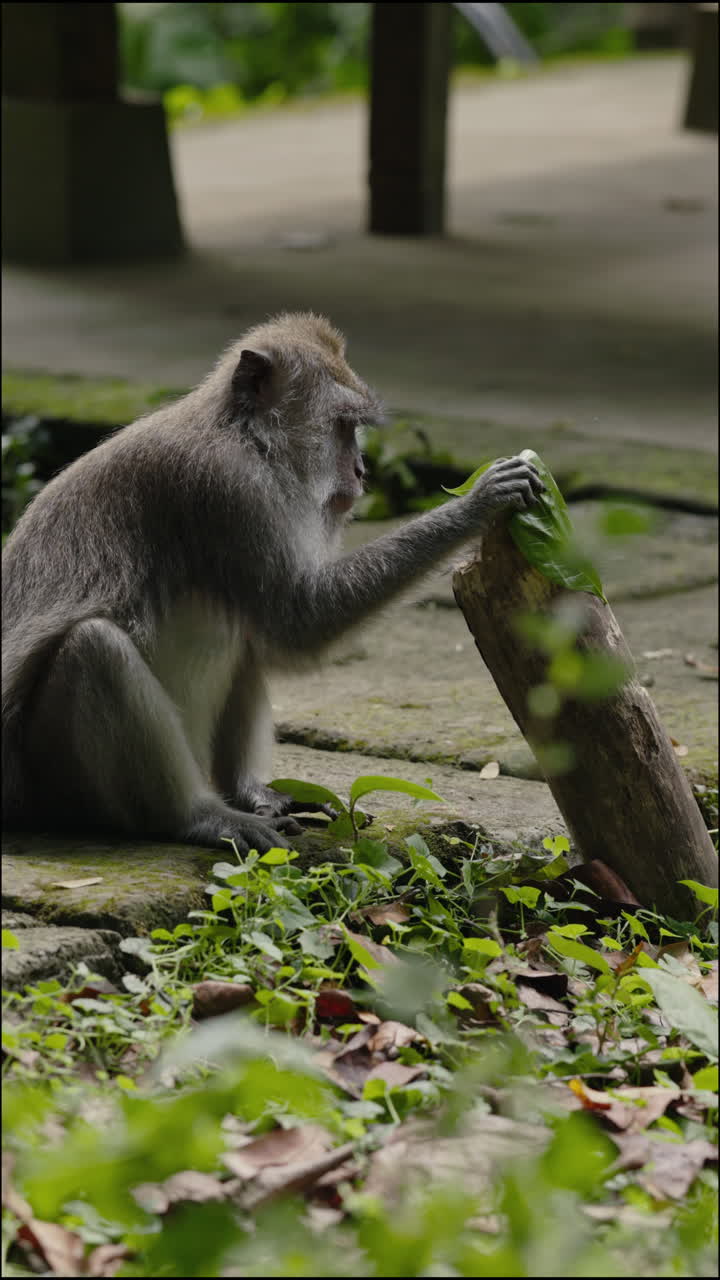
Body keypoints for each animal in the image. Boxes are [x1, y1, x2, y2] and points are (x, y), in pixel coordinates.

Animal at [2, 312, 543, 854]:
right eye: (343, 427)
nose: (361, 470)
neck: (245, 437)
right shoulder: (228, 490)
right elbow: (299, 619)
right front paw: (476, 504)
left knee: (241, 631)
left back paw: (246, 793)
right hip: (54, 783)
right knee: (95, 648)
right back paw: (197, 816)